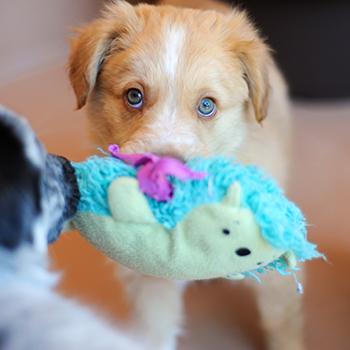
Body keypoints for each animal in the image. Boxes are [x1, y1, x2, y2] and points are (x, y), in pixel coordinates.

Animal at [69, 0, 304, 350]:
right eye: (134, 96)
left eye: (207, 105)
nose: (161, 179)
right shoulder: (148, 278)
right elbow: (154, 333)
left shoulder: (275, 271)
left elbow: (283, 323)